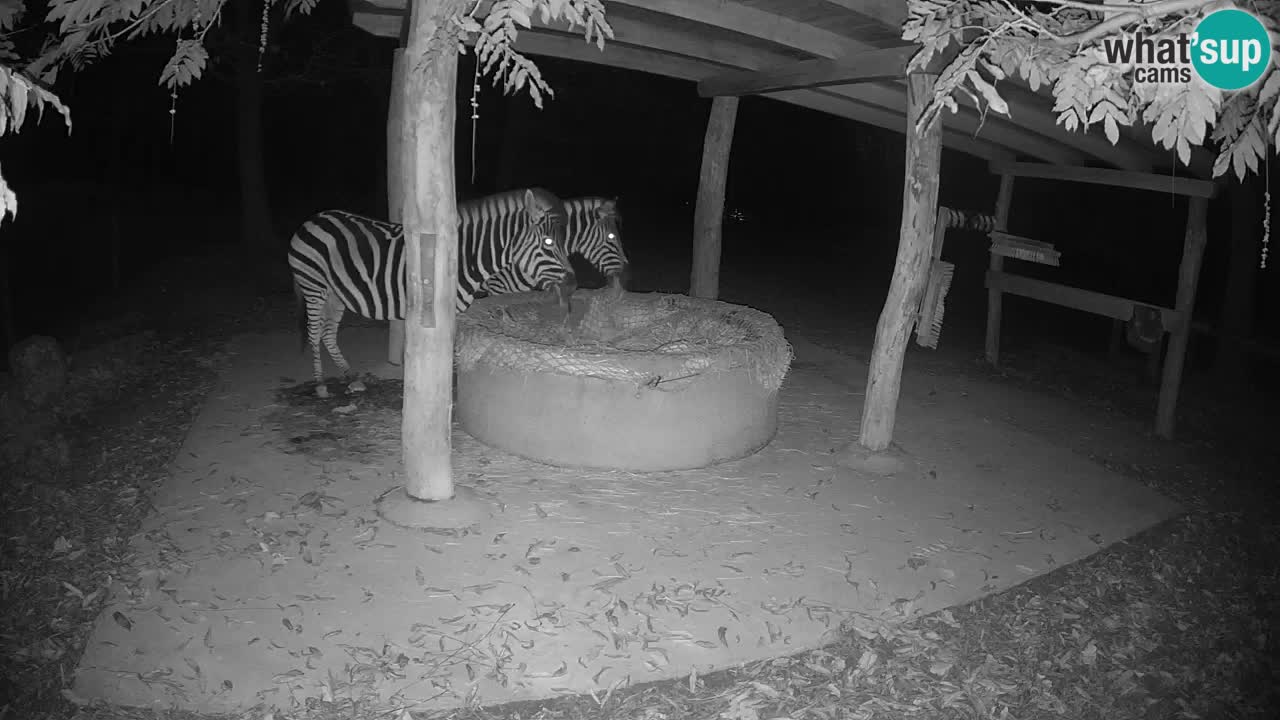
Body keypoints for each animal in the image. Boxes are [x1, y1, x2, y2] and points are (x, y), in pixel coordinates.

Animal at [287, 187, 575, 398]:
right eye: (548, 242)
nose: (573, 284)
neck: (464, 257)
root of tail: (313, 219)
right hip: (314, 284)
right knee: (314, 332)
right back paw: (320, 384)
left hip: (335, 293)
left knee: (327, 333)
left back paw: (350, 377)